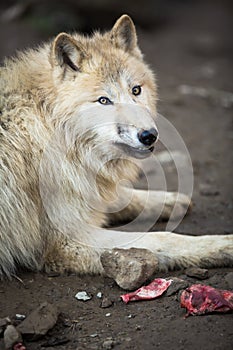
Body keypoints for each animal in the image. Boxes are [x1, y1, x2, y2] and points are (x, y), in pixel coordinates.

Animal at [0, 13, 232, 278]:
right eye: (104, 100)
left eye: (136, 90)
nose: (149, 135)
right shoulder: (67, 241)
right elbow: (165, 237)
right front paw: (223, 244)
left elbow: (121, 196)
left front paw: (170, 201)